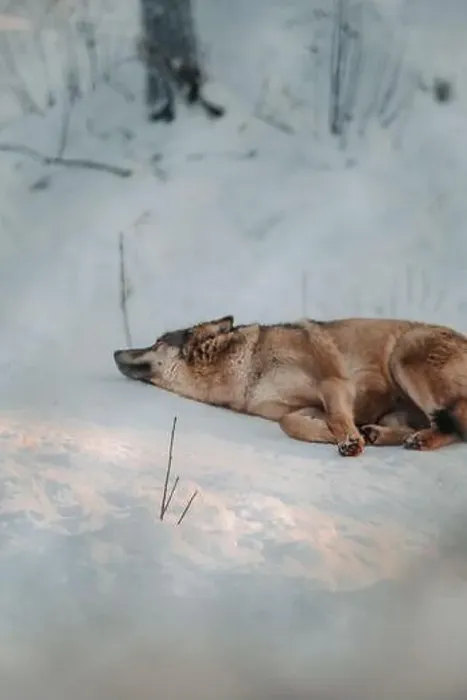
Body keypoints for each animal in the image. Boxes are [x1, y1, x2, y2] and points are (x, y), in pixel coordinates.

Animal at [113, 315, 467, 457]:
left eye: (157, 342)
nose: (115, 352)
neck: (246, 368)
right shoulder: (300, 407)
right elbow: (291, 423)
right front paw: (340, 436)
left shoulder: (334, 383)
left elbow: (336, 417)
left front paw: (347, 439)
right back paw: (378, 434)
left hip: (403, 357)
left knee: (454, 426)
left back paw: (417, 440)